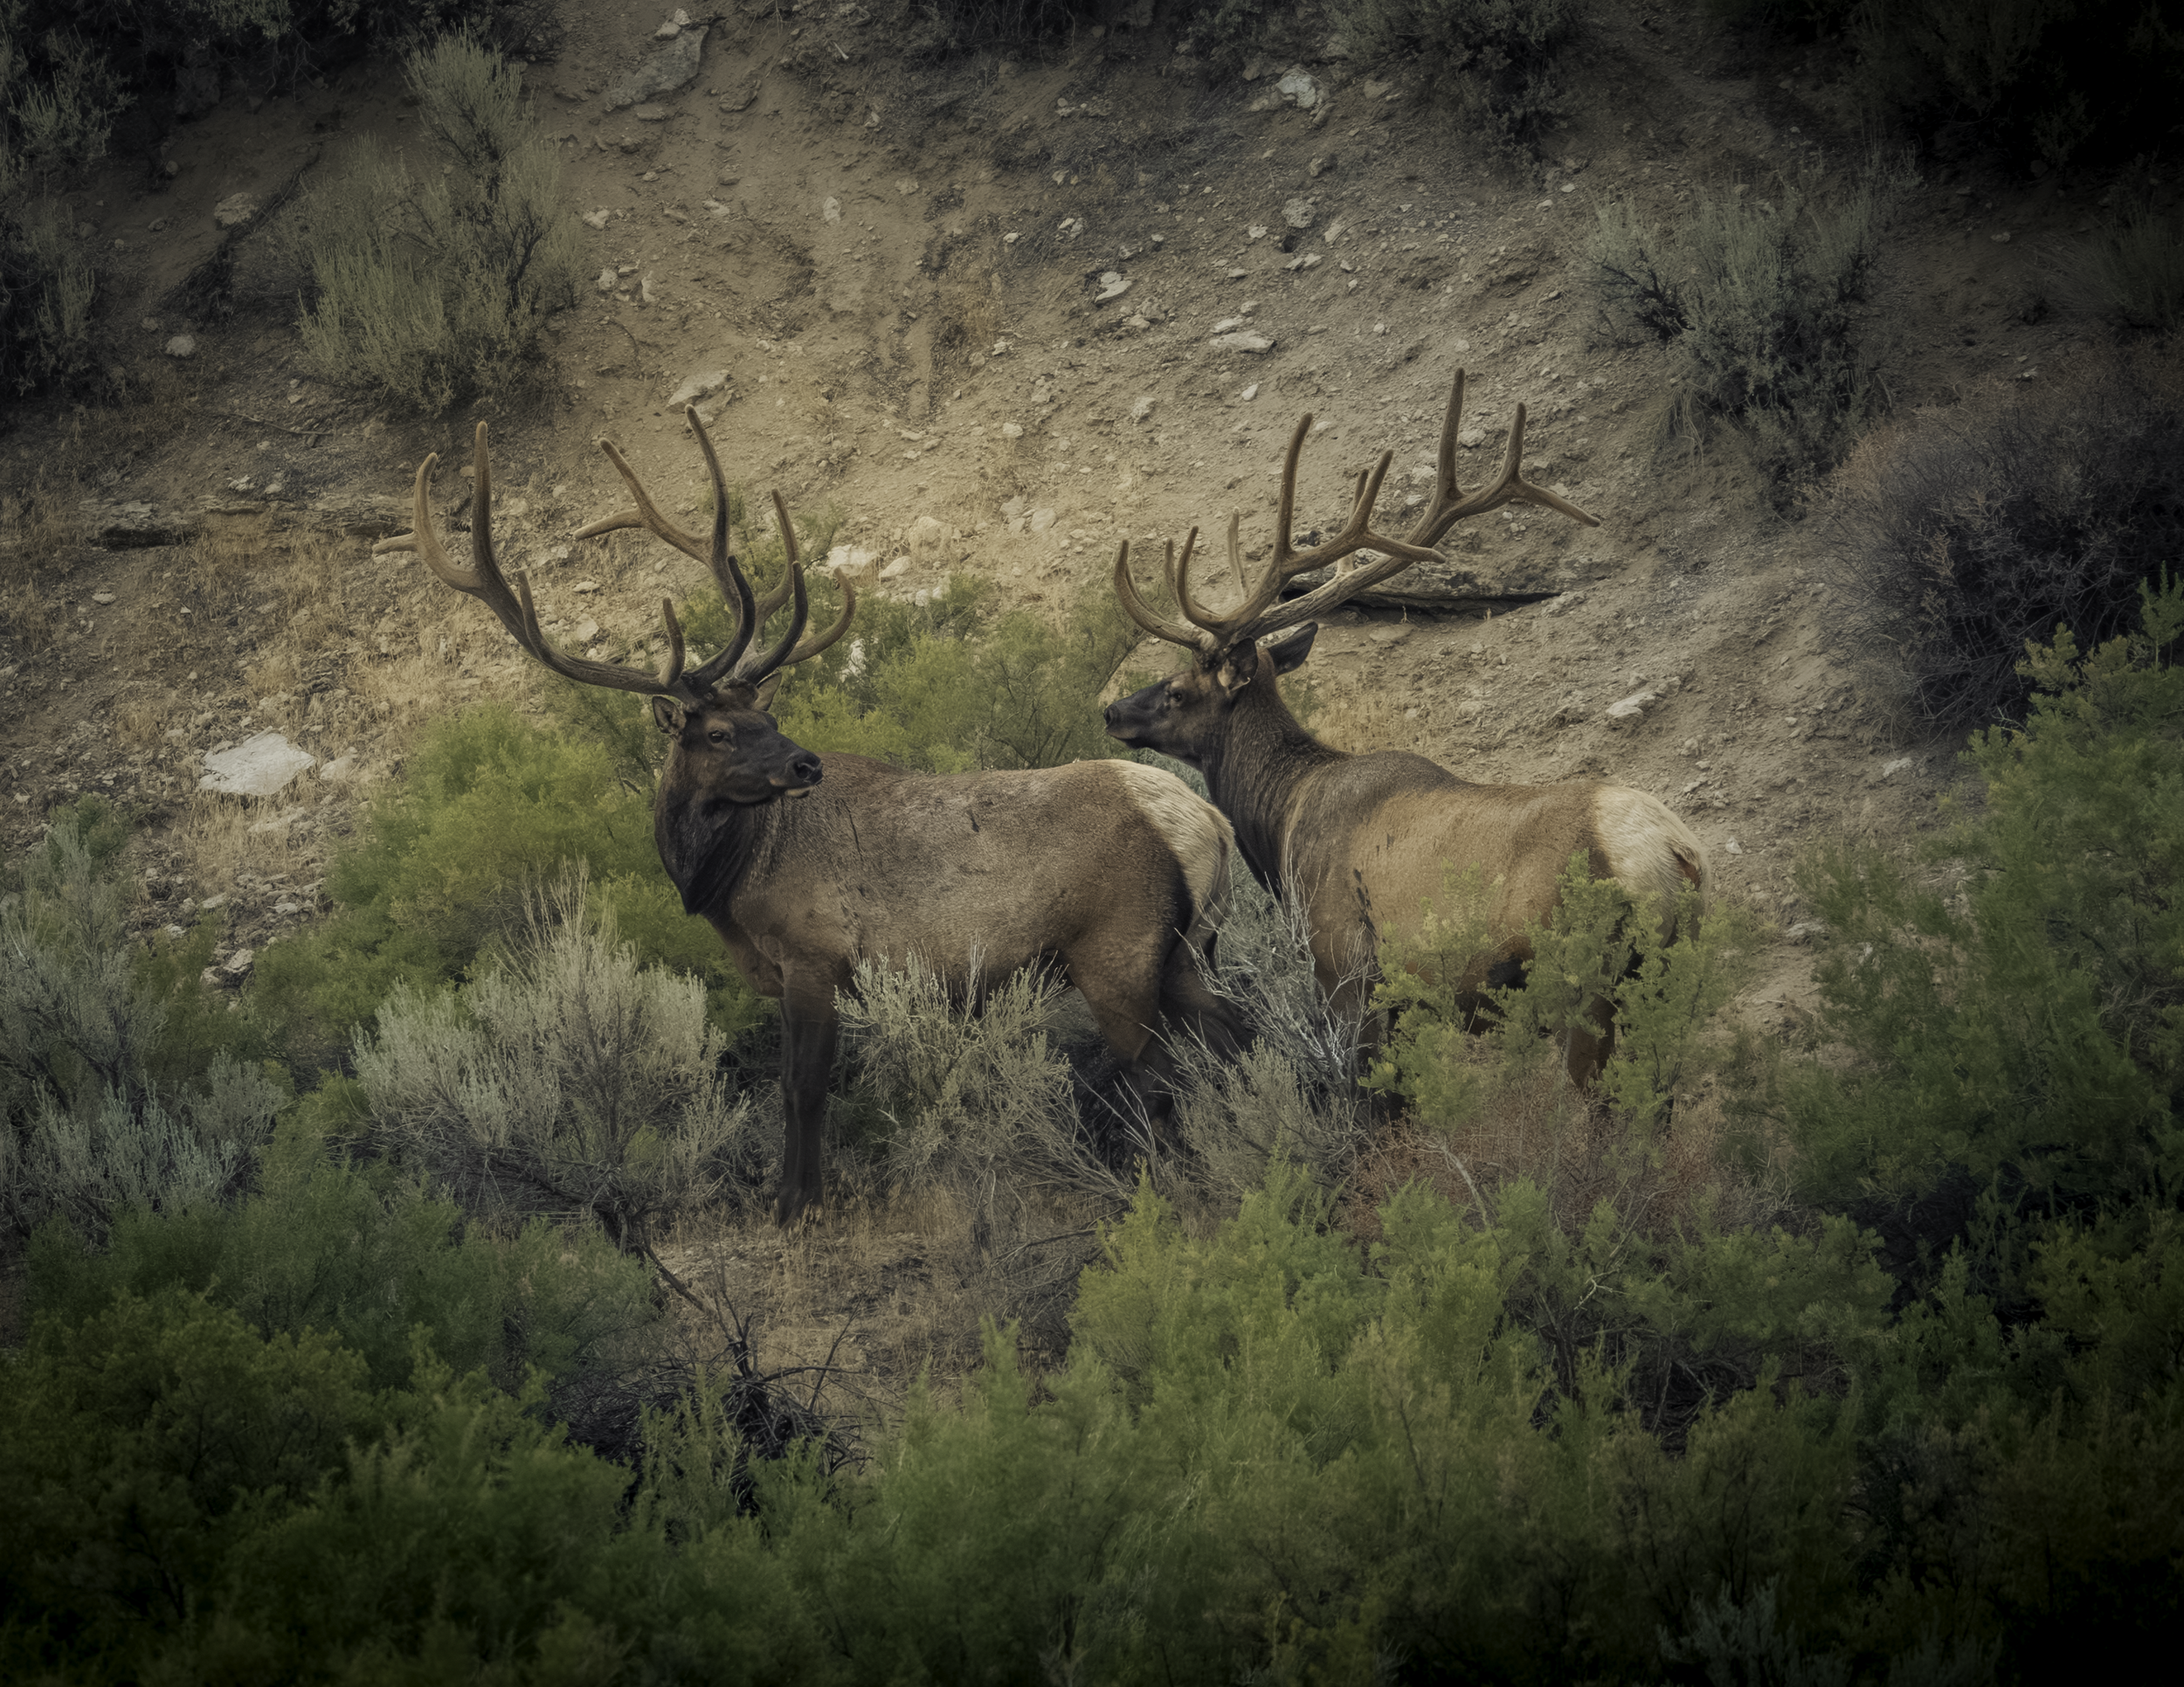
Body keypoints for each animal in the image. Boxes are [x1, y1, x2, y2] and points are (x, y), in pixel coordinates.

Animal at [380, 410, 1239, 1224]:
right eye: (721, 732)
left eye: (765, 716)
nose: (806, 763)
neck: (729, 888)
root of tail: (1206, 822)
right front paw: (790, 1195)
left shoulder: (814, 955)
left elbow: (802, 1087)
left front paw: (798, 1203)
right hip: (1187, 951)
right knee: (1235, 1035)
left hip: (1116, 953)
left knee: (1161, 1074)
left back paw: (1170, 1185)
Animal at [1104, 370, 1710, 1084]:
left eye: (1176, 691)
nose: (1112, 710)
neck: (1281, 824)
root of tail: (1675, 855)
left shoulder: (1347, 971)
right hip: (1673, 986)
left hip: (1588, 985)